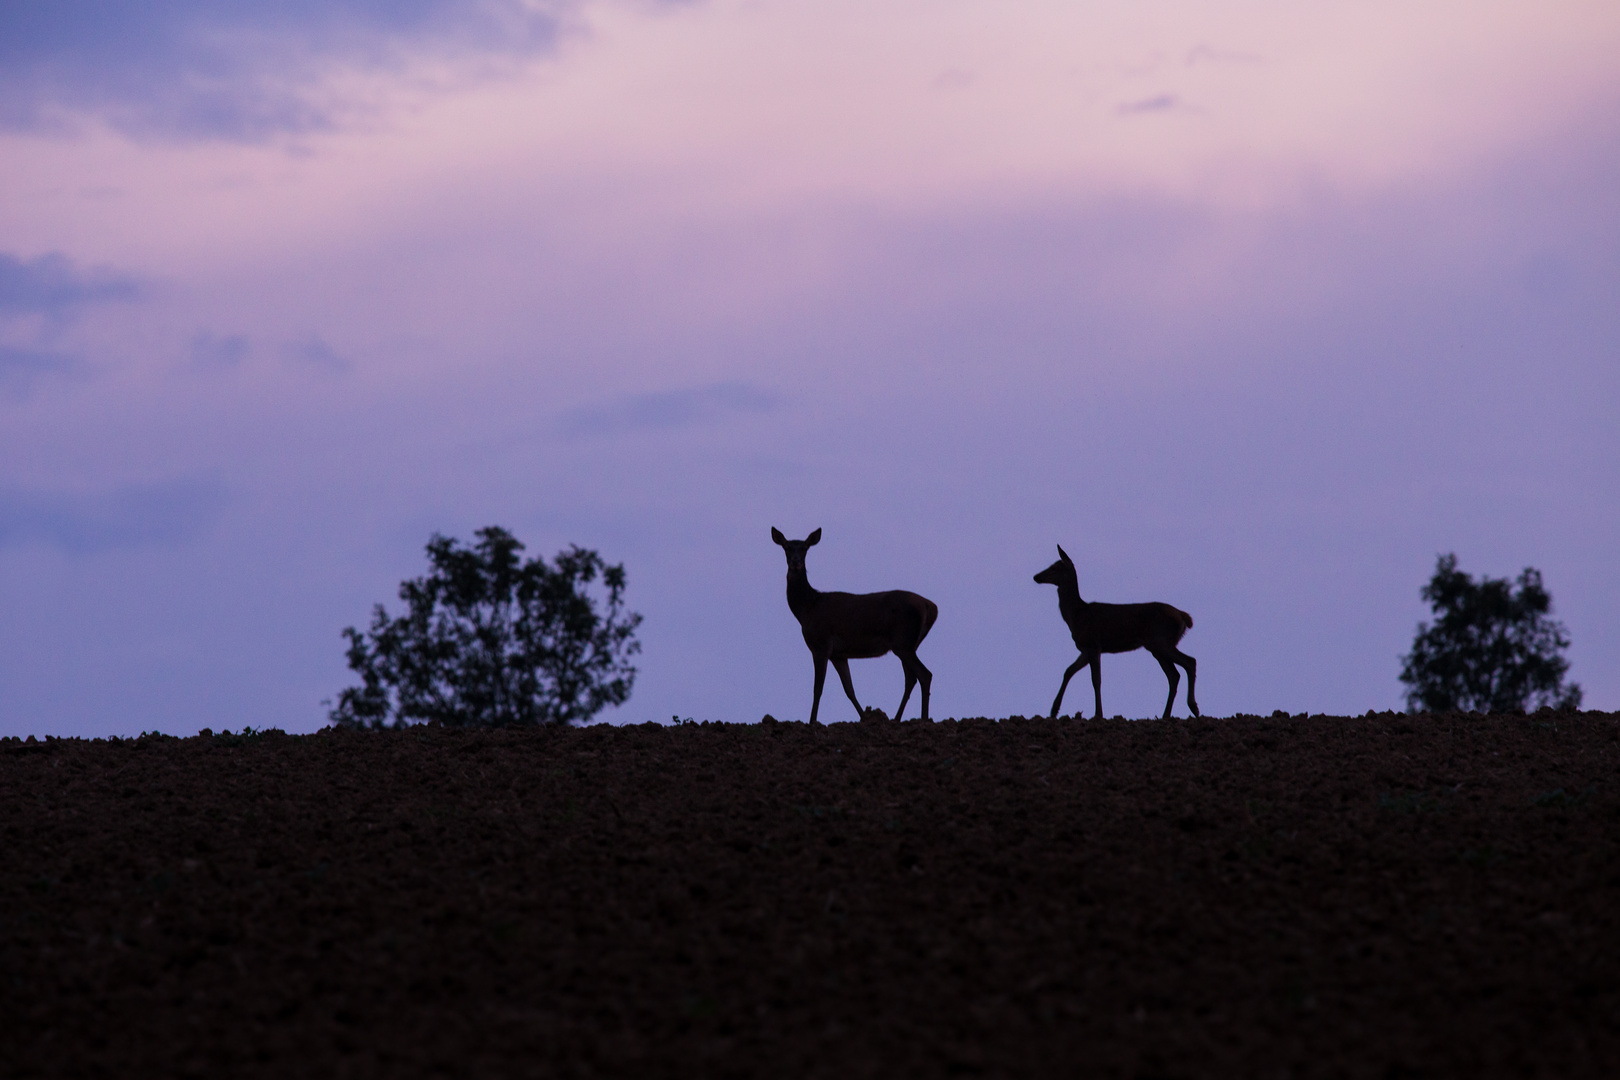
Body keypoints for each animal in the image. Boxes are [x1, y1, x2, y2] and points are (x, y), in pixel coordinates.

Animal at [771, 527, 939, 722]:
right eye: (787, 547)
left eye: (805, 548)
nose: (796, 562)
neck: (807, 609)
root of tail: (931, 607)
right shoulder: (838, 654)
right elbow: (849, 689)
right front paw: (865, 718)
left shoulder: (820, 645)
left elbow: (817, 689)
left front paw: (812, 722)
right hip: (909, 644)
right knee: (911, 678)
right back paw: (897, 719)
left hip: (903, 641)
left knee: (924, 674)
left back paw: (923, 719)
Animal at [1030, 550, 1198, 718]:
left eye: (1055, 567)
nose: (1036, 577)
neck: (1077, 615)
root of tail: (1184, 616)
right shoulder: (1085, 649)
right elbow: (1068, 671)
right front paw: (1054, 710)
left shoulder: (1093, 645)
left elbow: (1096, 680)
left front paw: (1098, 714)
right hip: (1156, 647)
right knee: (1174, 675)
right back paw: (1166, 715)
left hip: (1161, 640)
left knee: (1190, 661)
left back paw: (1193, 707)